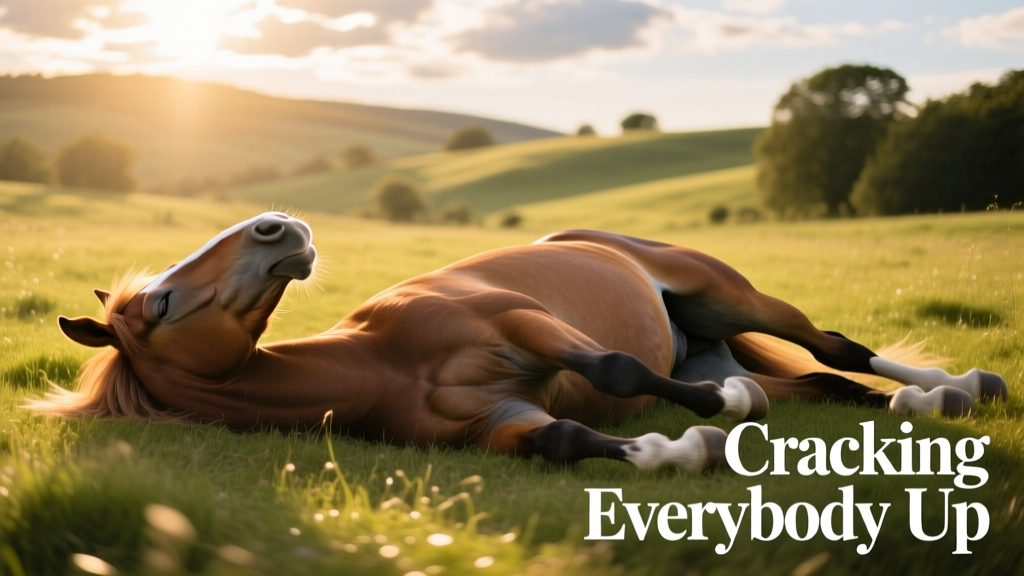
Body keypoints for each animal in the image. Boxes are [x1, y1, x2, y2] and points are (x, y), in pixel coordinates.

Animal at [29, 212, 1008, 471]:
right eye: (160, 304)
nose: (277, 227)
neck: (379, 363)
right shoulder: (501, 427)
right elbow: (573, 438)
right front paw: (684, 442)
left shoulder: (522, 326)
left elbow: (614, 364)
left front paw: (717, 412)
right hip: (715, 337)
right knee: (832, 388)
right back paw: (928, 400)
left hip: (730, 300)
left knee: (835, 347)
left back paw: (961, 382)